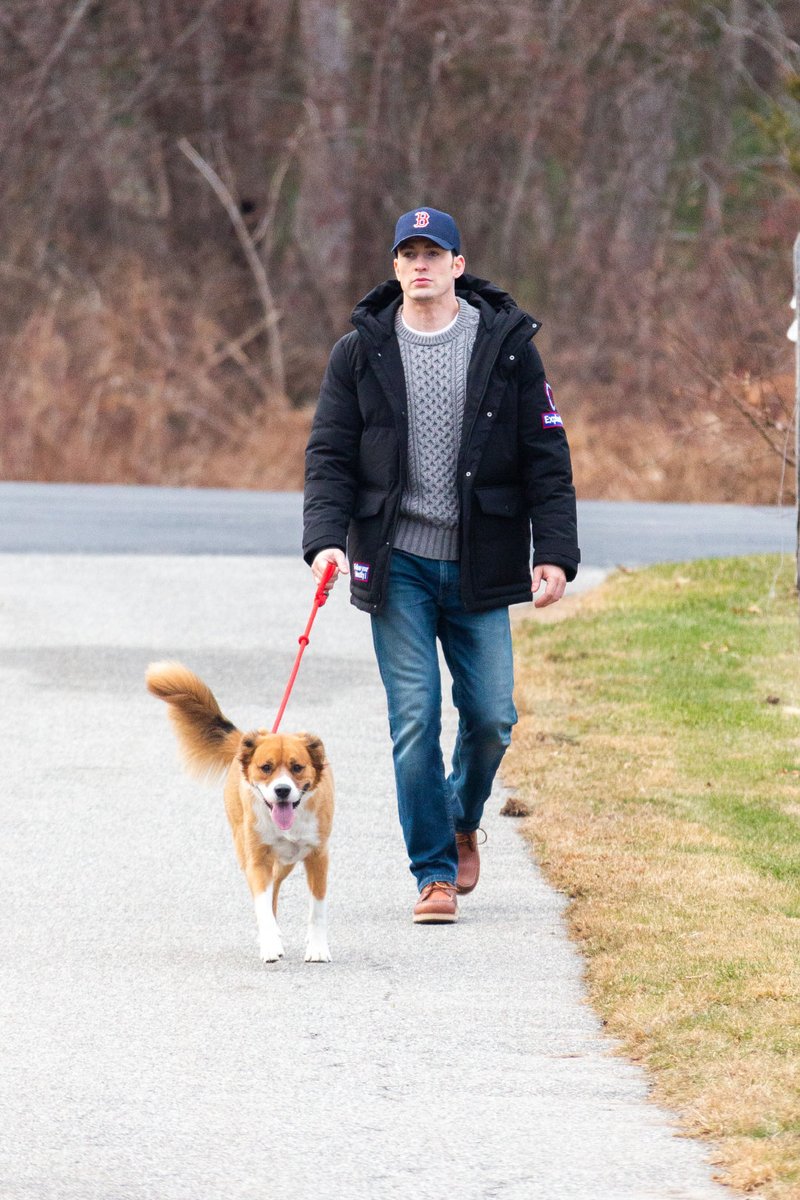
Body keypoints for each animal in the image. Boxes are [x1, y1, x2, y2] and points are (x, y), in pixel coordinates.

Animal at [145, 662, 333, 960]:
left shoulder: (318, 856)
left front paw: (316, 948)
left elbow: (318, 908)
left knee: (277, 885)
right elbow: (262, 905)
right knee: (268, 894)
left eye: (297, 767)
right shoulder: (257, 859)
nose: (282, 790)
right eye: (266, 767)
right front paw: (270, 943)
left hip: (288, 860)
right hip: (249, 851)